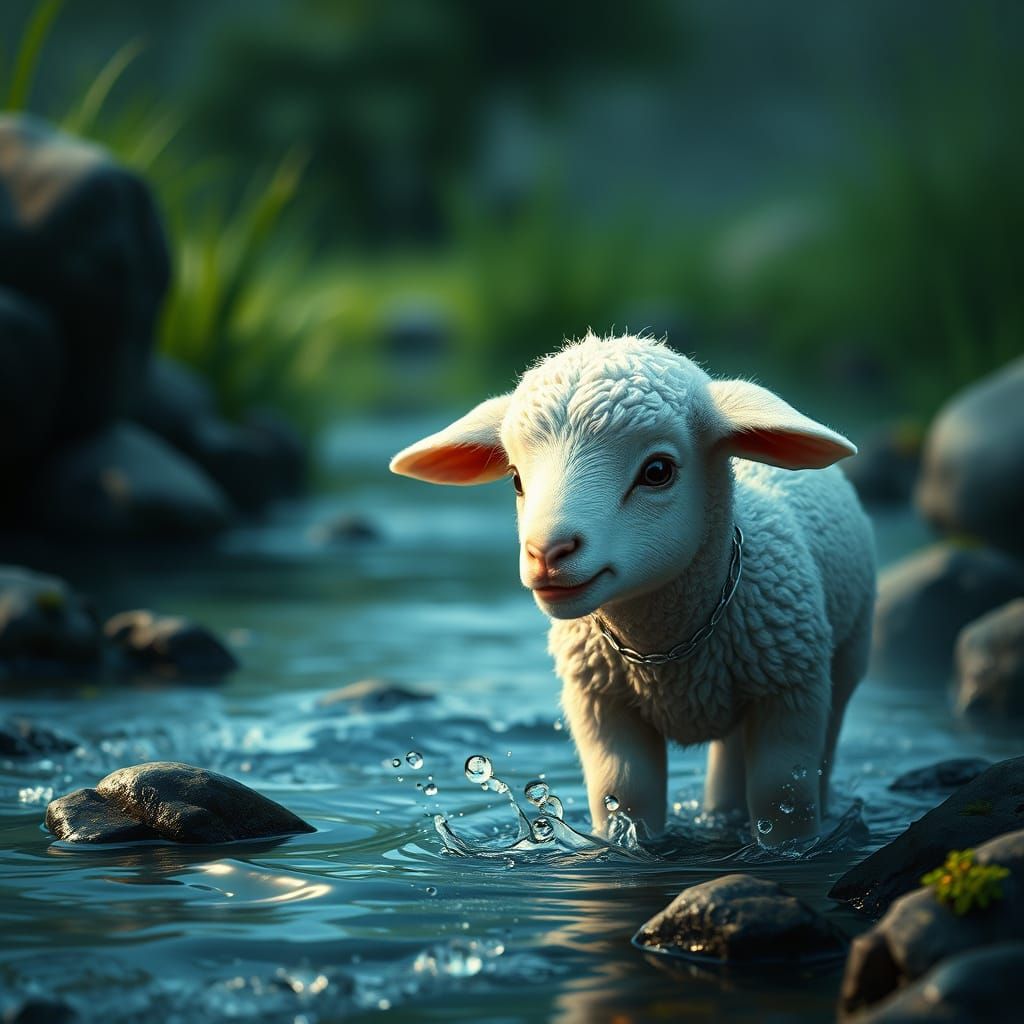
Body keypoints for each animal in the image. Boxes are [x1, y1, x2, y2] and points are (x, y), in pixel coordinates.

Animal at [390, 333, 875, 845]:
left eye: (657, 471)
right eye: (517, 479)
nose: (547, 552)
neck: (668, 650)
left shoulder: (791, 692)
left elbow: (784, 796)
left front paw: (792, 847)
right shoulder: (601, 704)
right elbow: (624, 795)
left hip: (846, 654)